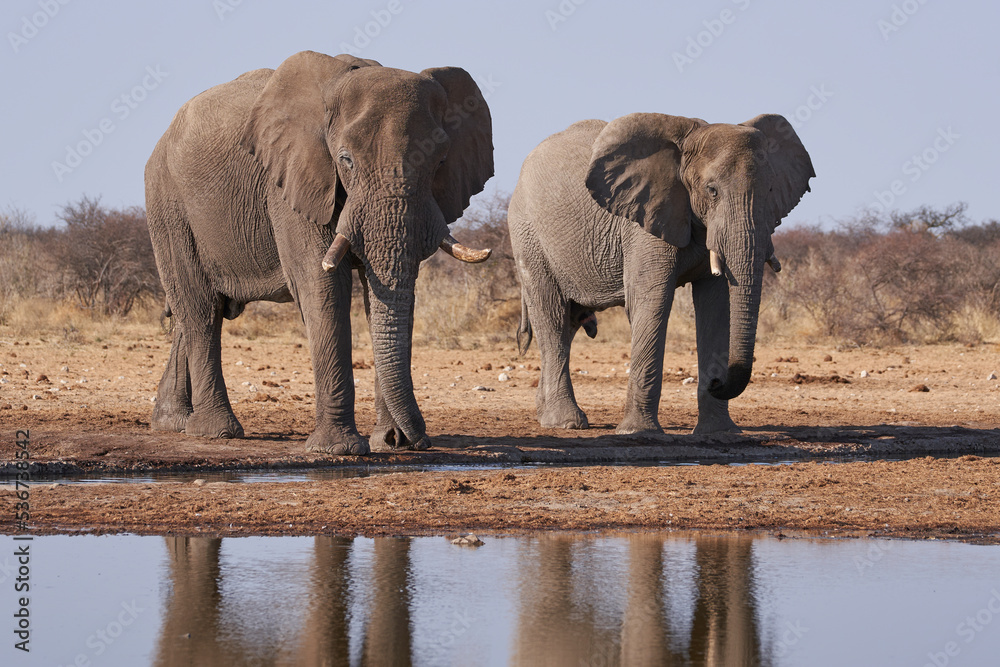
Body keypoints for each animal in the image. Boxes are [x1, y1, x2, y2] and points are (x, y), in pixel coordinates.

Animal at [145, 51, 494, 455]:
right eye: (345, 160)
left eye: (440, 162)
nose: (414, 441)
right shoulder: (291, 182)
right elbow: (321, 284)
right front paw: (338, 450)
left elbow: (383, 295)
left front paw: (387, 443)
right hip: (169, 207)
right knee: (201, 310)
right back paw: (215, 432)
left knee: (198, 313)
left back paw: (172, 423)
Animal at [508, 113, 813, 434]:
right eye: (712, 190)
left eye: (770, 191)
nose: (717, 382)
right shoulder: (643, 223)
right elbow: (652, 303)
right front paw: (638, 432)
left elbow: (717, 309)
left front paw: (720, 432)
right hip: (528, 236)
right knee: (552, 317)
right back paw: (566, 423)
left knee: (569, 322)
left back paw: (547, 414)